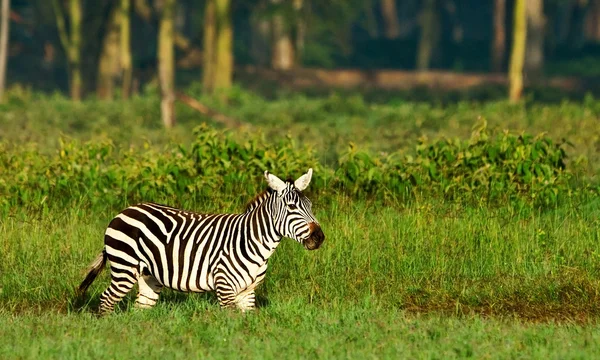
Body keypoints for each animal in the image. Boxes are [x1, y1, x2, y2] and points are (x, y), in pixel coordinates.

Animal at [77, 169, 326, 312]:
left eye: (310, 206)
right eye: (292, 207)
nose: (319, 237)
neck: (255, 243)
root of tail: (125, 210)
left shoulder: (247, 293)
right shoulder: (224, 288)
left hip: (148, 276)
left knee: (141, 309)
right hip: (124, 268)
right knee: (106, 301)